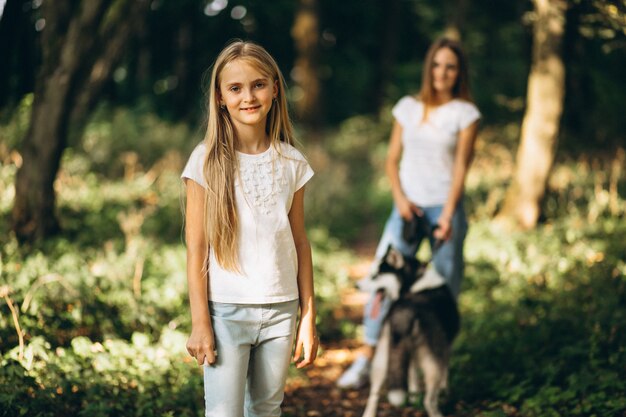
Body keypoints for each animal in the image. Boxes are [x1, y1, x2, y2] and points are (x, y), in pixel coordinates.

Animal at [356, 245, 458, 416]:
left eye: (375, 276)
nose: (356, 286)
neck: (414, 280)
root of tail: (404, 310)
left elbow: (411, 374)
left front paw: (413, 395)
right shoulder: (446, 348)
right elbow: (445, 372)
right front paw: (445, 391)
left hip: (382, 357)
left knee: (374, 394)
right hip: (433, 364)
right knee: (429, 400)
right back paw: (436, 411)